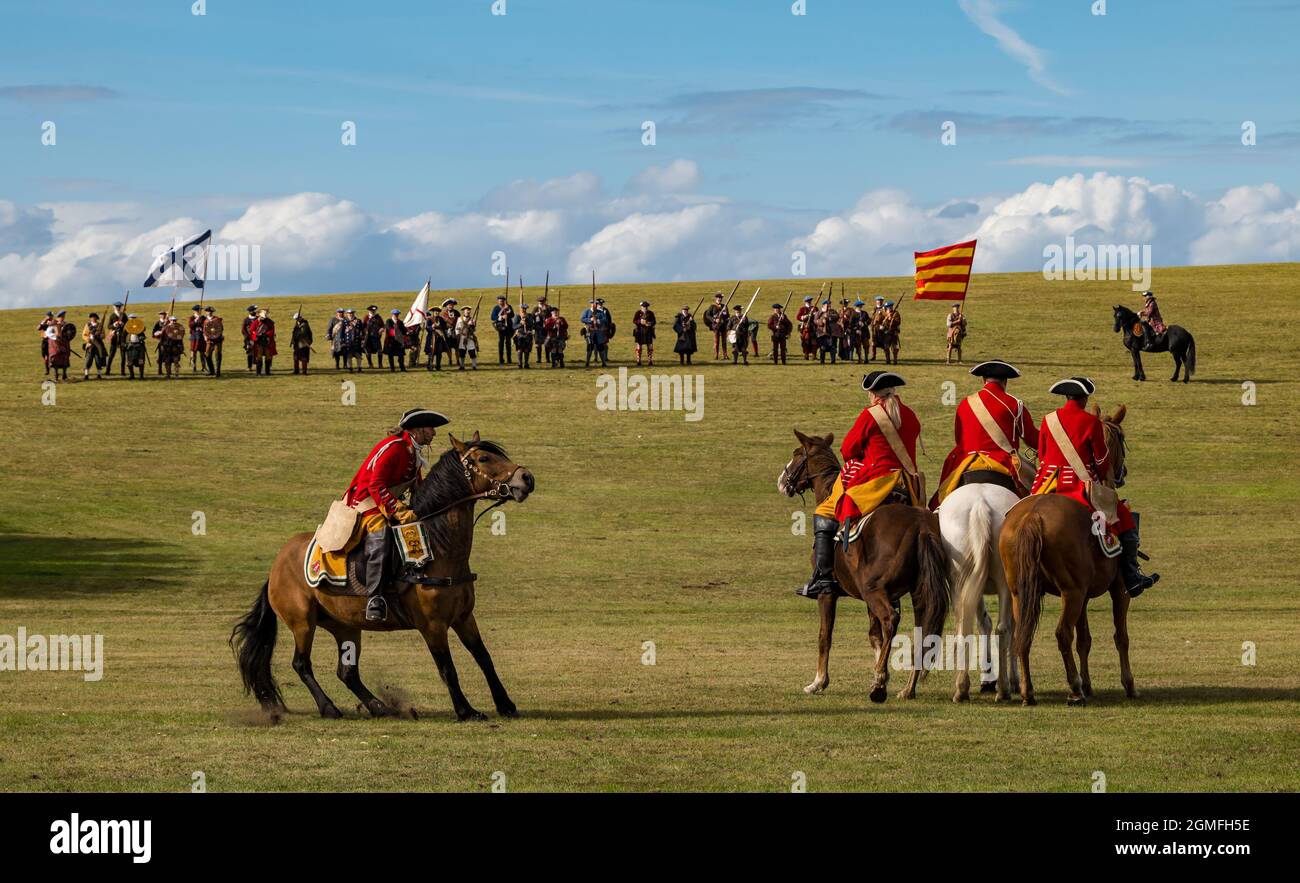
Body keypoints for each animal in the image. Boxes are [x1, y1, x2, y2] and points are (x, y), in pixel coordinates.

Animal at [231, 431, 535, 723]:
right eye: (483, 458)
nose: (527, 478)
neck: (439, 547)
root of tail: (275, 567)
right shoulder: (432, 626)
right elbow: (447, 668)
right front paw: (465, 711)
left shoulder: (464, 617)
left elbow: (484, 658)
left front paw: (506, 705)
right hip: (303, 623)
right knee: (302, 664)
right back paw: (330, 708)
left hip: (346, 626)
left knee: (347, 672)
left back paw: (380, 707)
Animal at [774, 429, 951, 702]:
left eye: (796, 454)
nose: (782, 481)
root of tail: (920, 525)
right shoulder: (874, 599)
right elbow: (875, 637)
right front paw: (882, 677)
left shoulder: (828, 594)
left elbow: (825, 636)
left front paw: (819, 682)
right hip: (917, 592)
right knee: (921, 630)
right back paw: (906, 689)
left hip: (873, 590)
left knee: (891, 619)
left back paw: (879, 684)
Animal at [935, 481, 1024, 702]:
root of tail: (980, 504)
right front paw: (1011, 679)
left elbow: (986, 624)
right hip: (1002, 584)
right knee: (1003, 629)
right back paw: (1003, 689)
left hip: (960, 582)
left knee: (965, 628)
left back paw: (962, 689)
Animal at [998, 403, 1133, 707]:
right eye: (1121, 438)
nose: (1122, 472)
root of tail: (1033, 517)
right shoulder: (1118, 589)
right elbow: (1121, 635)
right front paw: (1128, 684)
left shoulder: (1083, 594)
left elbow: (1084, 639)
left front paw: (1089, 683)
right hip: (1071, 592)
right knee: (1061, 633)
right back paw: (1073, 689)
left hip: (1021, 592)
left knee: (1022, 635)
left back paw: (1028, 691)